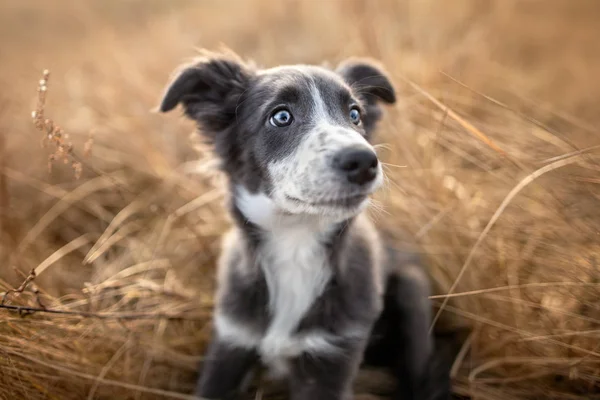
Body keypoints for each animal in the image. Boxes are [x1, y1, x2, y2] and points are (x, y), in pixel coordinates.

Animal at [159, 50, 450, 400]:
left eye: (355, 114)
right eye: (281, 116)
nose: (363, 162)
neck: (295, 244)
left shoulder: (332, 356)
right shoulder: (231, 343)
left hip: (412, 289)